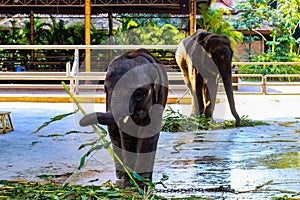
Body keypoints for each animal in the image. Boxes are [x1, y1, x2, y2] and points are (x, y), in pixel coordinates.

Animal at [79, 48, 169, 188]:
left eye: (139, 93)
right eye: (105, 89)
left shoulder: (159, 97)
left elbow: (149, 132)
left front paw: (143, 184)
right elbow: (126, 133)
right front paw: (129, 183)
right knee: (114, 134)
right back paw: (121, 175)